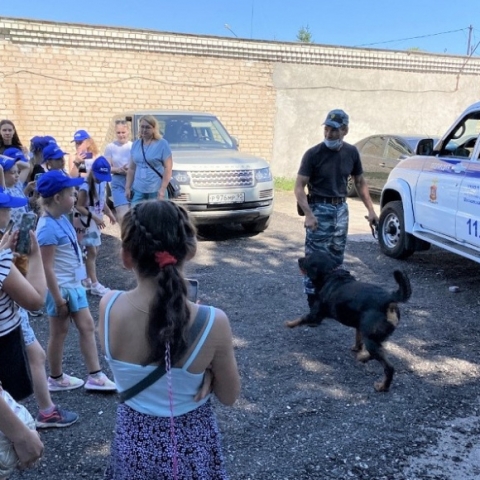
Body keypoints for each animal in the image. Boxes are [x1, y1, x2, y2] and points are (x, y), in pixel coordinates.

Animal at [286, 249, 410, 392]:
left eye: (307, 259)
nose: (299, 259)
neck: (330, 274)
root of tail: (389, 299)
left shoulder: (315, 315)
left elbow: (301, 318)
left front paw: (289, 324)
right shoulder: (359, 327)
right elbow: (358, 339)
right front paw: (356, 349)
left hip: (370, 339)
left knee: (389, 367)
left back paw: (382, 386)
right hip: (376, 336)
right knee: (379, 351)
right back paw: (363, 358)